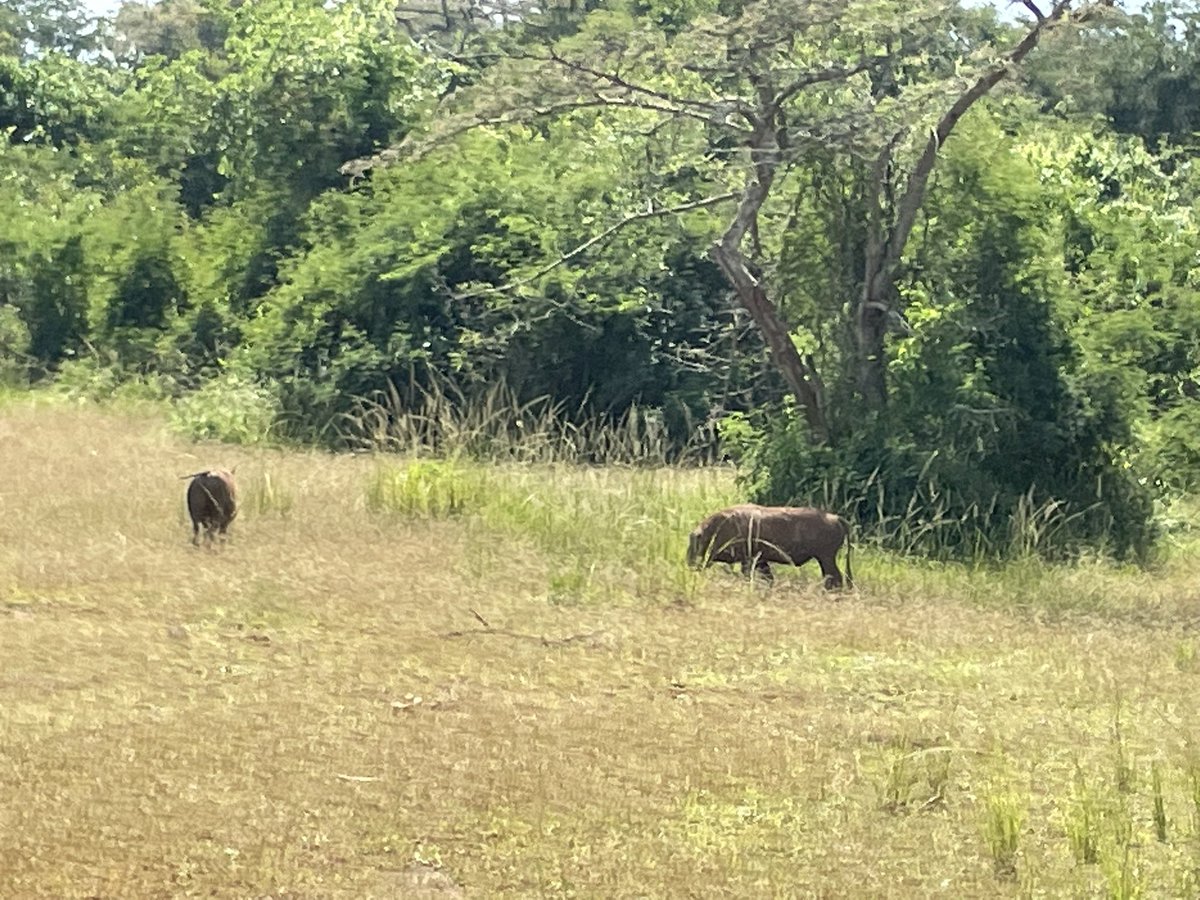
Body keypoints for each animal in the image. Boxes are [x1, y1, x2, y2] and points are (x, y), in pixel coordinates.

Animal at [686, 504, 852, 588]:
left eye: (695, 542)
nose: (689, 562)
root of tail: (835, 517)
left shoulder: (748, 561)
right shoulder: (759, 561)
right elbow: (768, 578)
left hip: (826, 558)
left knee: (835, 577)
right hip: (824, 559)